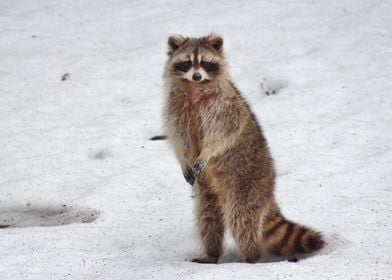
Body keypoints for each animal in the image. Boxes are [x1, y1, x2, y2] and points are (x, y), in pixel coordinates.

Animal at [163, 34, 324, 264]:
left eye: (204, 62)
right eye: (187, 62)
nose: (196, 75)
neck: (194, 88)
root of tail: (269, 191)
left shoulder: (224, 106)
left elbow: (223, 133)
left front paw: (206, 153)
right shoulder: (175, 109)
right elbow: (180, 138)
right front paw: (184, 159)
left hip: (247, 185)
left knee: (242, 220)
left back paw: (251, 257)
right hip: (208, 193)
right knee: (207, 218)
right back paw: (211, 253)